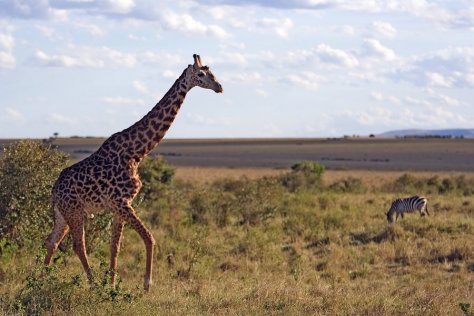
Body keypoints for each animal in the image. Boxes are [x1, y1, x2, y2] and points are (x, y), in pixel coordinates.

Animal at [43, 54, 224, 292]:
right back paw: (92, 284)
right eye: (202, 74)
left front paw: (112, 285)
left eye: (213, 72)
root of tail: (54, 190)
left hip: (63, 213)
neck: (137, 152)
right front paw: (146, 284)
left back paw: (39, 280)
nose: (219, 87)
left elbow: (115, 247)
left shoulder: (118, 206)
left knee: (52, 241)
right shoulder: (122, 202)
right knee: (78, 245)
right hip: (74, 211)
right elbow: (149, 238)